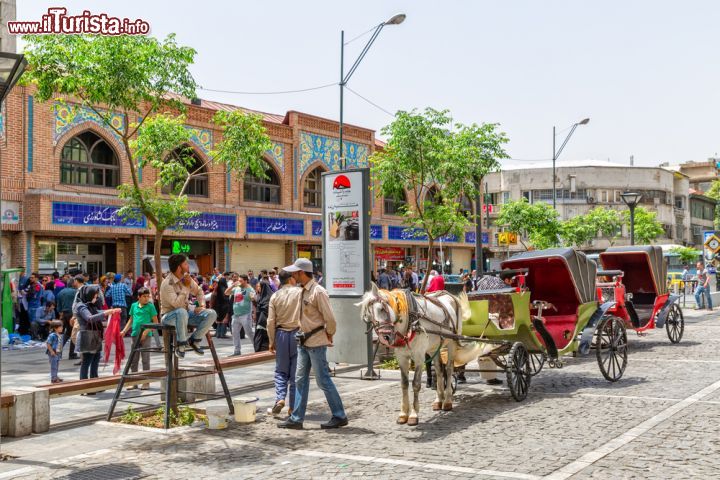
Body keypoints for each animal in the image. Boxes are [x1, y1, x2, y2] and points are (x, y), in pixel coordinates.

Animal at [358, 284, 480, 426]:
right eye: (367, 316)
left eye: (382, 309)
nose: (385, 337)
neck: (410, 323)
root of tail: (449, 295)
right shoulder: (402, 358)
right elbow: (404, 384)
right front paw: (403, 414)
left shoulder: (419, 357)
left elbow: (416, 384)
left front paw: (413, 415)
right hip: (434, 347)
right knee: (439, 370)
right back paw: (439, 400)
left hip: (452, 342)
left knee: (449, 369)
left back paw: (447, 401)